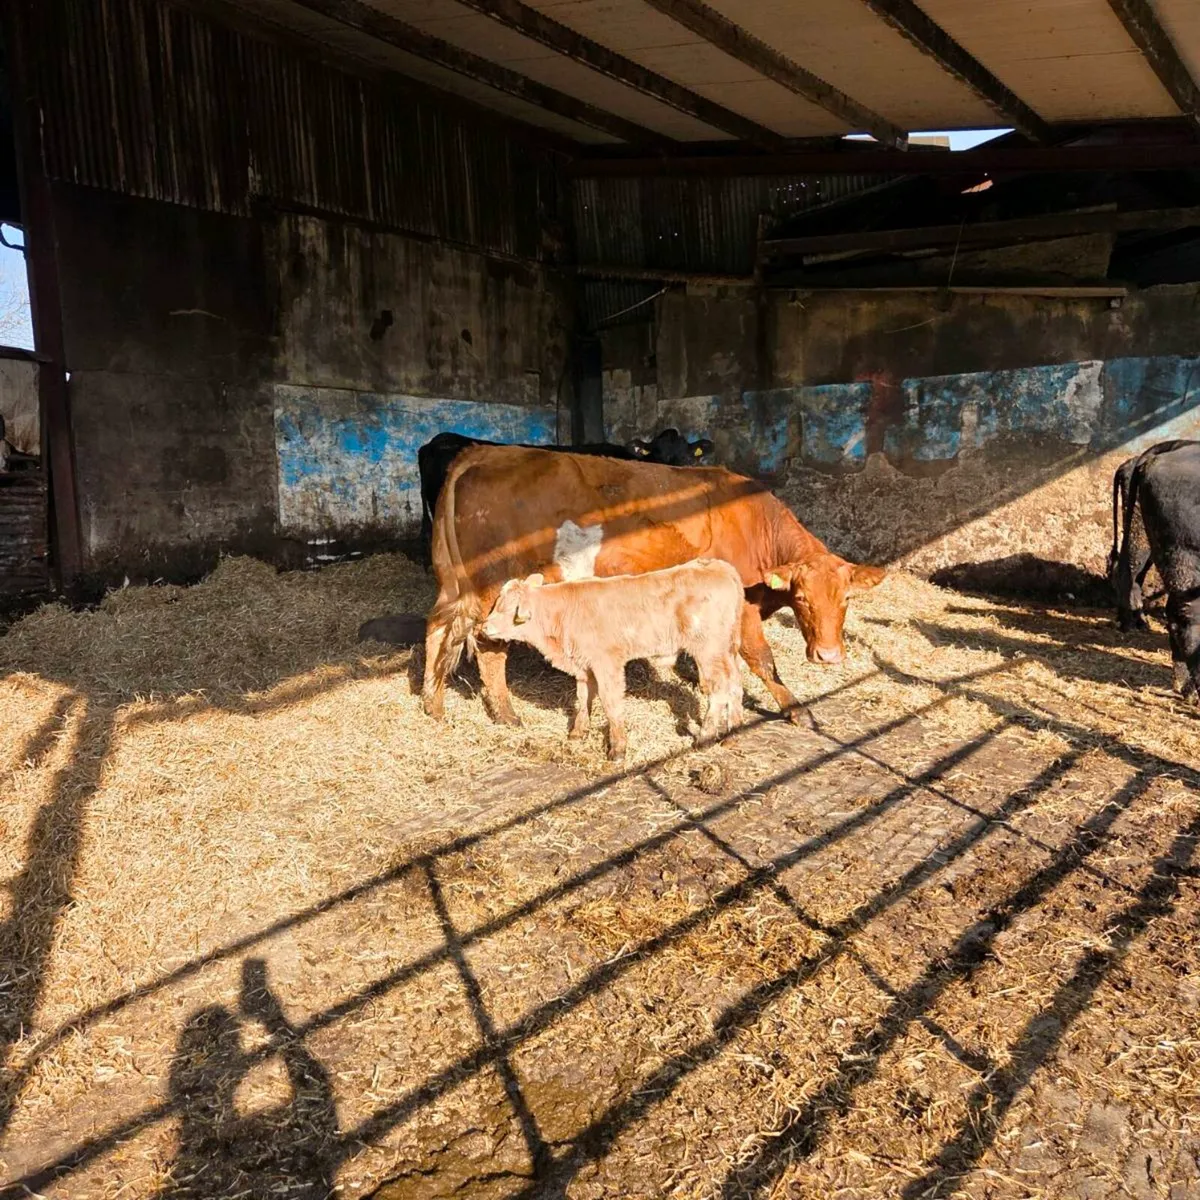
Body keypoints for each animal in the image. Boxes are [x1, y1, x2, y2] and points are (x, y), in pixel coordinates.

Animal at [421, 444, 886, 728]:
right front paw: (796, 710)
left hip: (453, 586)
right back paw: (507, 715)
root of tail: (482, 452)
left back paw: (433, 706)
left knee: (436, 631)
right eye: (802, 598)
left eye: (846, 598)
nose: (829, 656)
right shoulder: (743, 606)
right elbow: (762, 659)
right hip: (495, 589)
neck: (754, 524)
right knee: (490, 648)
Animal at [481, 560, 745, 760]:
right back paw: (734, 731)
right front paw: (578, 732)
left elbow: (611, 703)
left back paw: (704, 738)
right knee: (735, 683)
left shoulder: (606, 663)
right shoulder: (584, 667)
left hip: (708, 650)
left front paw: (618, 748)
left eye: (507, 608)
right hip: (727, 649)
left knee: (719, 688)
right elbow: (583, 698)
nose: (483, 627)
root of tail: (718, 566)